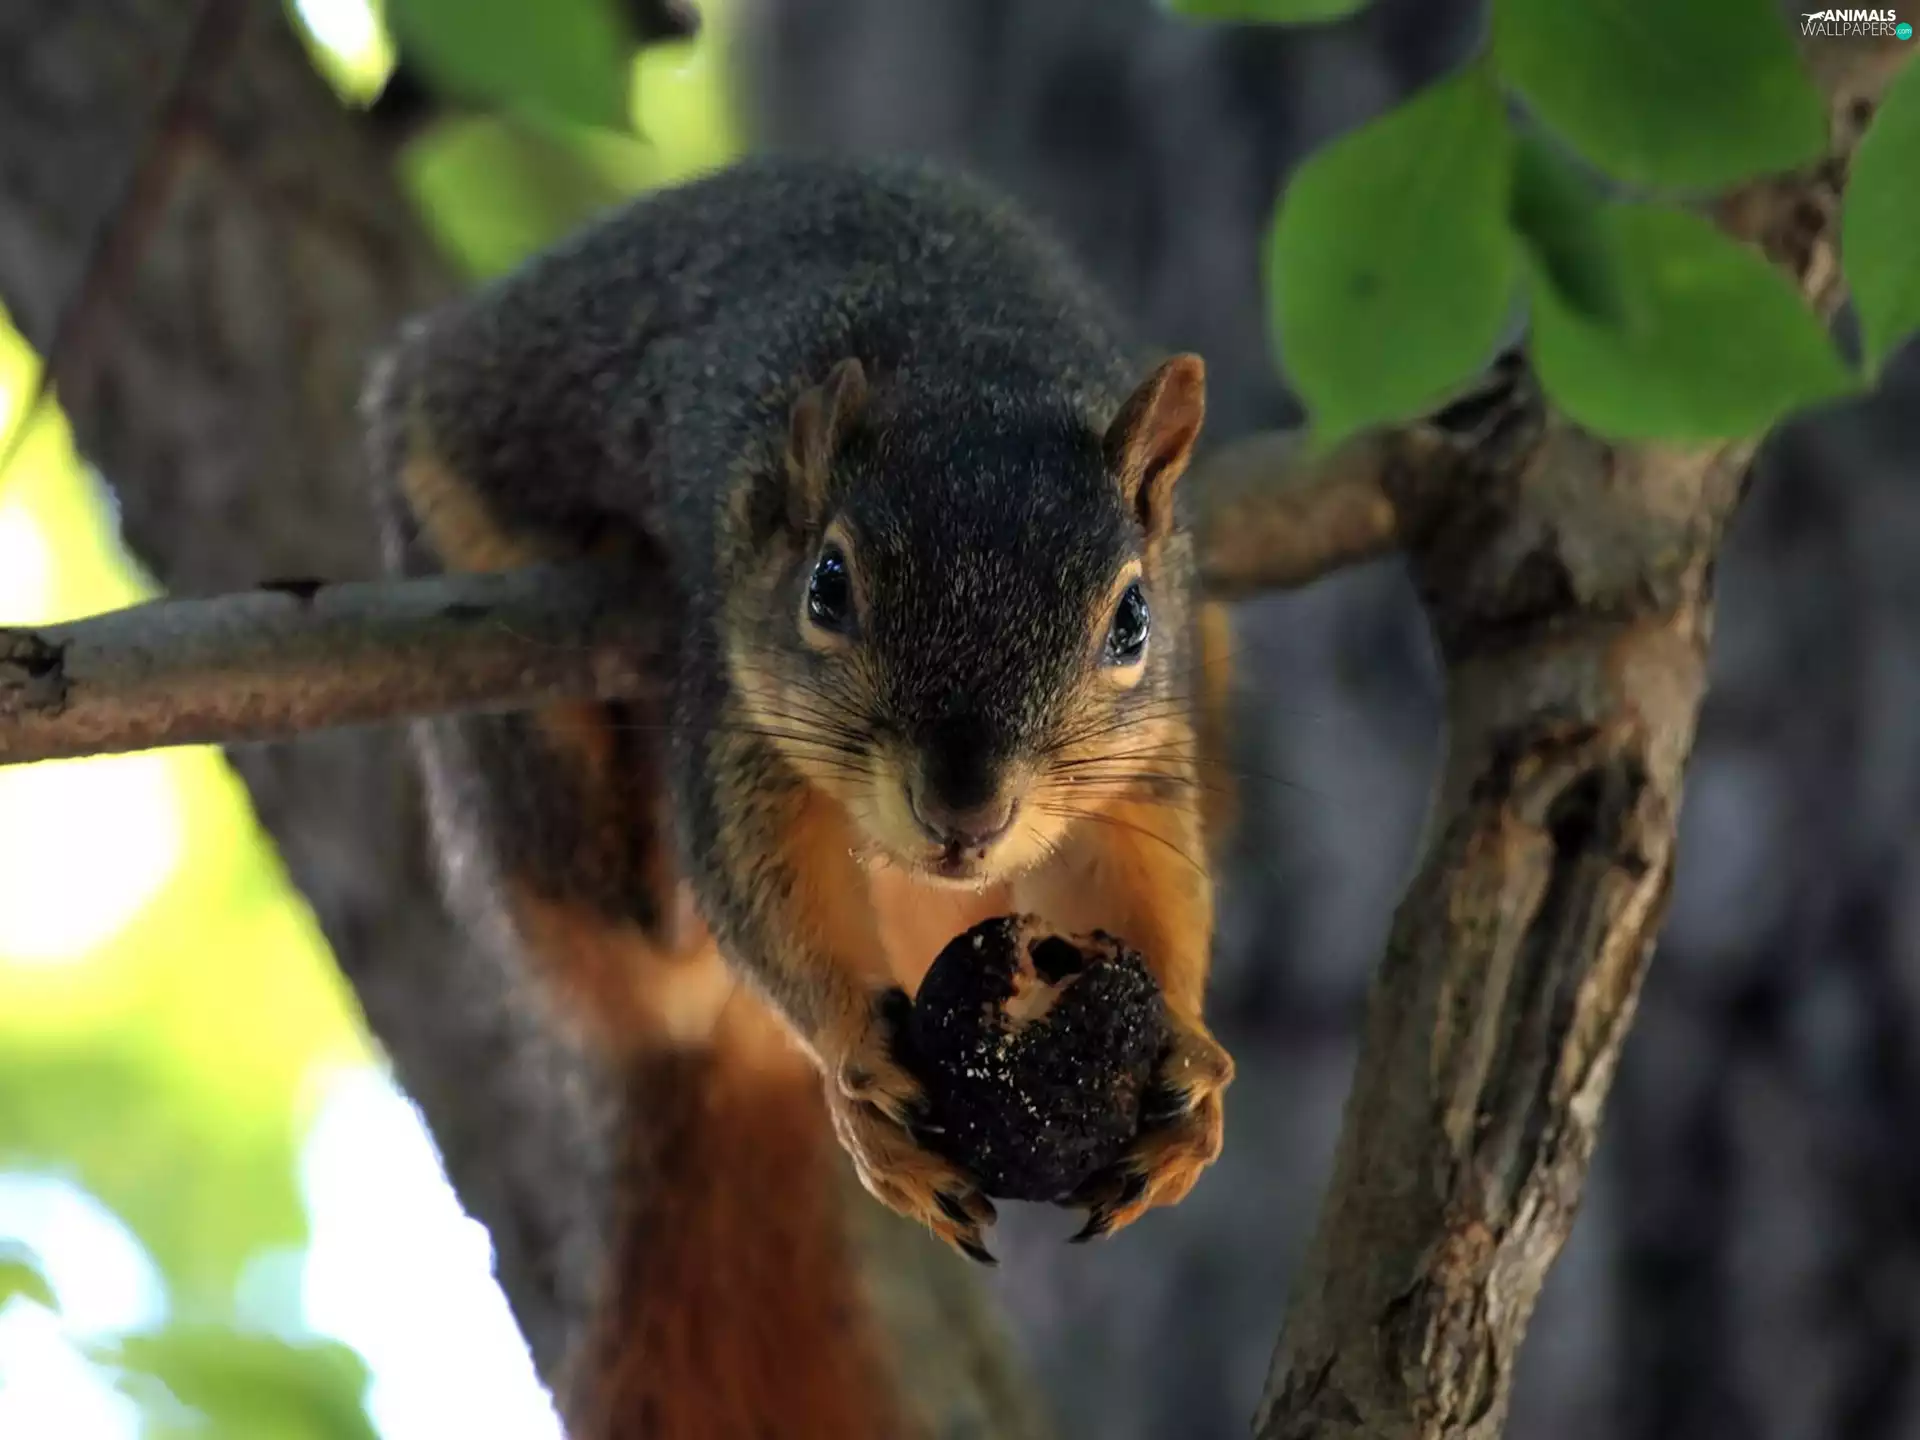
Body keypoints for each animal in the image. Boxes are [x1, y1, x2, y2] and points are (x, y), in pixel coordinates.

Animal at [361, 153, 1237, 1436]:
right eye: (828, 587)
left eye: (1130, 619)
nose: (965, 811)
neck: (966, 356)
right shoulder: (739, 700)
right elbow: (757, 874)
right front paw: (853, 1061)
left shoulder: (1149, 756)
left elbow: (1145, 885)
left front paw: (1187, 1057)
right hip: (505, 719)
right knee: (646, 933)